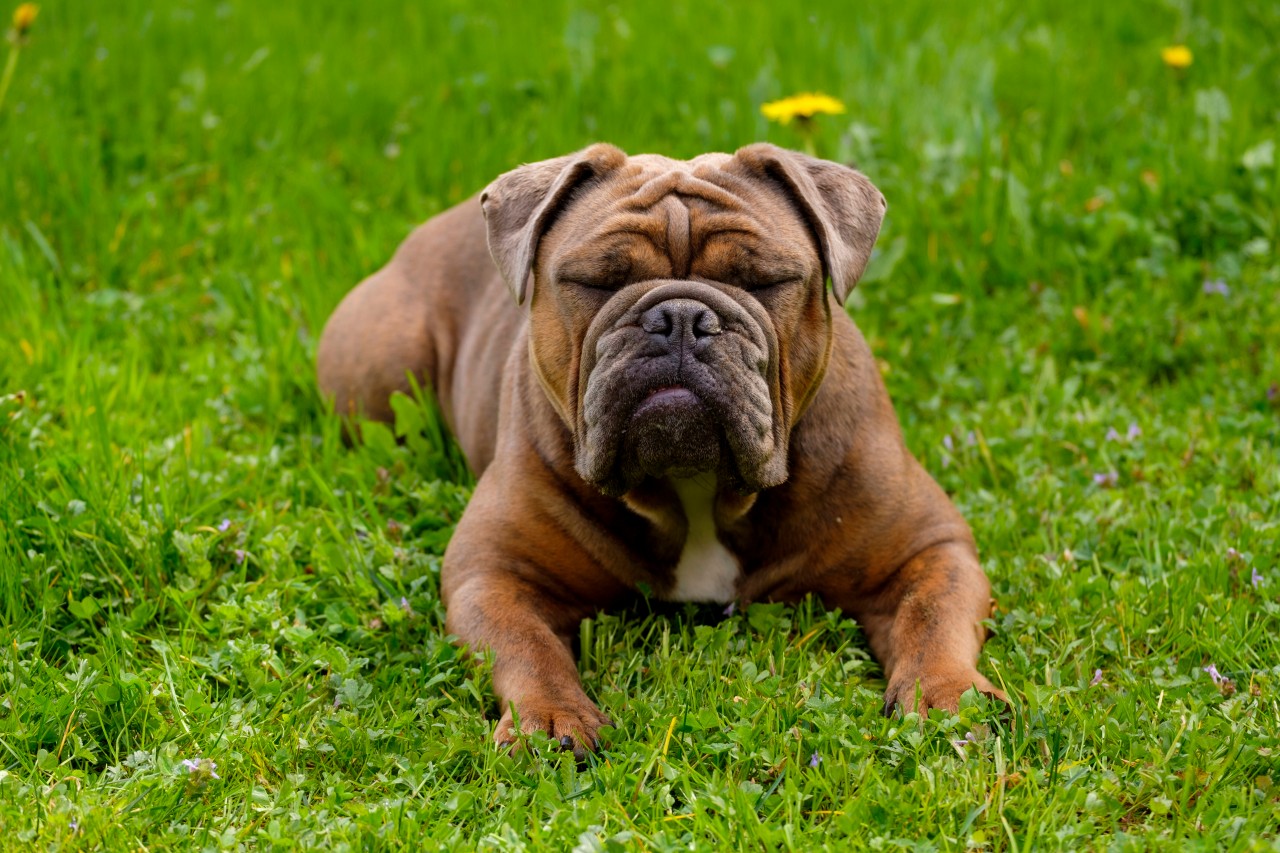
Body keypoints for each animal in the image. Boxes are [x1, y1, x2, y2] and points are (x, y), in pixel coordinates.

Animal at [314, 142, 1003, 753]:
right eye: (595, 281)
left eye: (765, 280)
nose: (679, 318)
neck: (695, 490)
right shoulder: (494, 571)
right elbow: (526, 645)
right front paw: (550, 719)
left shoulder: (925, 548)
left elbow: (932, 619)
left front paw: (948, 699)